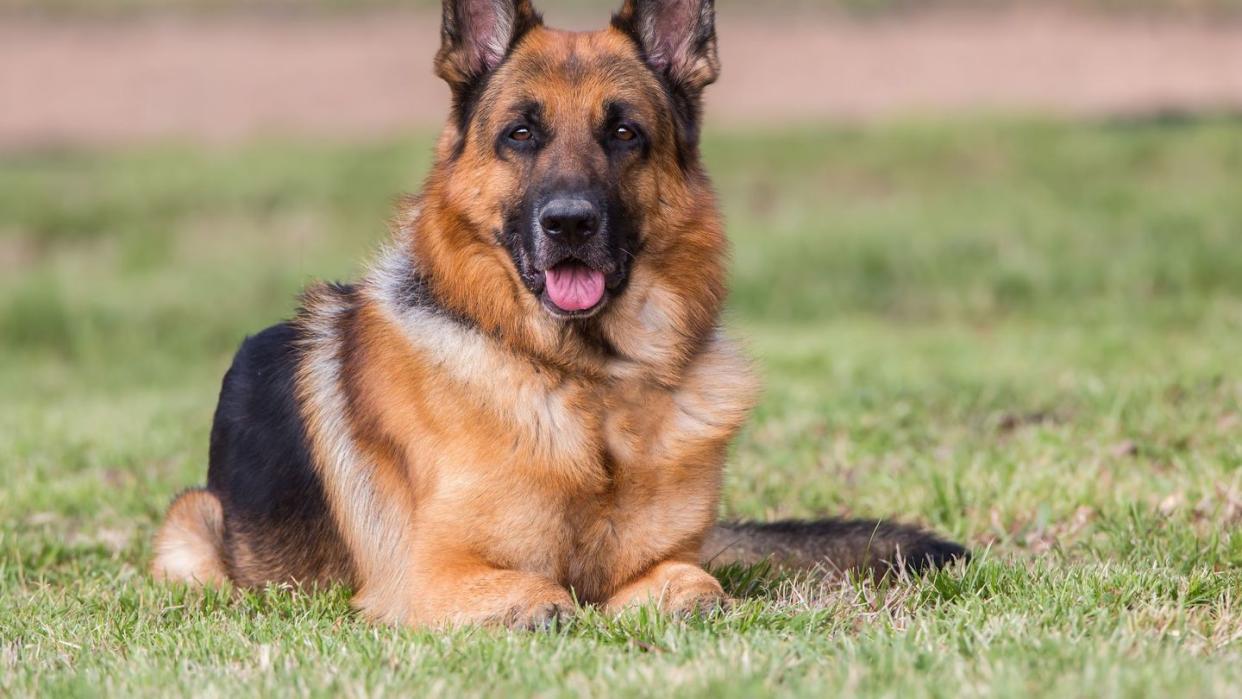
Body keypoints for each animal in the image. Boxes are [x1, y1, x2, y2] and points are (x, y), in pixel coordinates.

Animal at [152, 0, 968, 628]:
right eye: (521, 133)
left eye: (624, 132)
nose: (569, 223)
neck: (588, 382)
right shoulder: (427, 577)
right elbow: (544, 595)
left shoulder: (673, 562)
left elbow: (696, 583)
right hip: (190, 535)